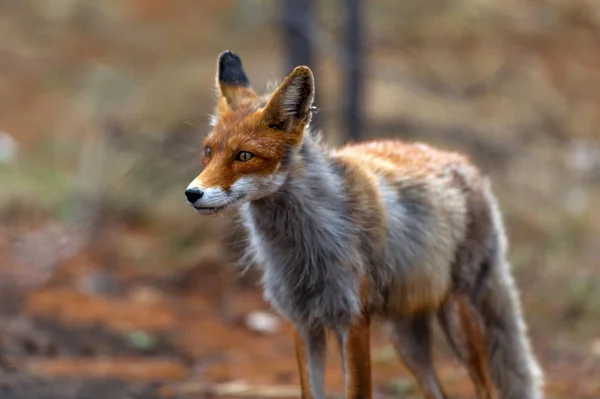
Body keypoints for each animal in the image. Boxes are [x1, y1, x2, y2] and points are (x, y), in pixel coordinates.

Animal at [185, 50, 548, 399]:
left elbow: (358, 391)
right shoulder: (303, 323)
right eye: (208, 151)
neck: (301, 246)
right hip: (406, 338)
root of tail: (467, 166)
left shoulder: (353, 319)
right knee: (437, 392)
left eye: (244, 156)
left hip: (457, 319)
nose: (192, 193)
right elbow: (309, 392)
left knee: (486, 389)